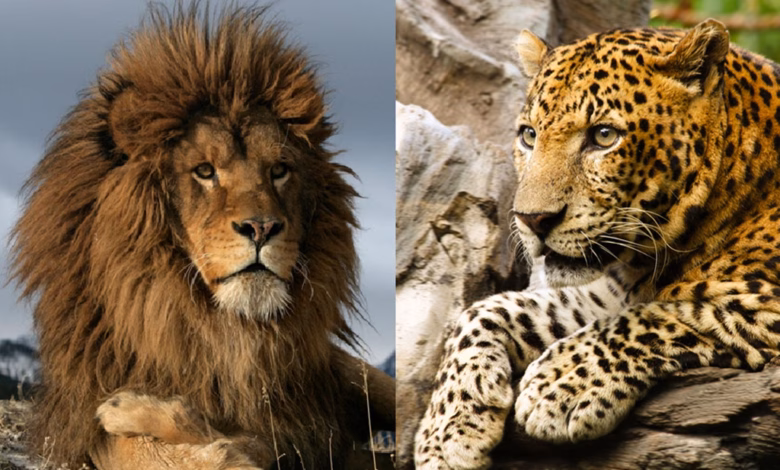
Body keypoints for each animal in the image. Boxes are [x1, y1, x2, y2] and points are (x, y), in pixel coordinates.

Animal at [10, 3, 394, 469]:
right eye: (205, 171)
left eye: (279, 170)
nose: (261, 227)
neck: (224, 334)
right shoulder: (84, 421)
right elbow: (147, 451)